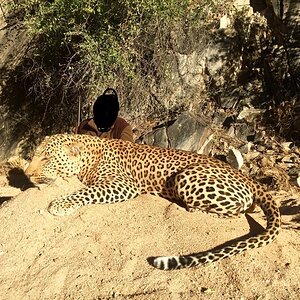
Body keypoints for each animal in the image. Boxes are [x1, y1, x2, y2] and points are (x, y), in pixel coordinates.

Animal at [24, 134, 280, 270]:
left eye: (46, 158)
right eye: (35, 156)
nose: (27, 174)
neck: (88, 154)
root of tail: (248, 178)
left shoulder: (124, 184)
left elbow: (88, 192)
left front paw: (60, 204)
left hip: (186, 177)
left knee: (236, 211)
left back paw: (192, 209)